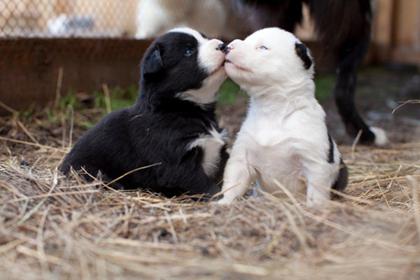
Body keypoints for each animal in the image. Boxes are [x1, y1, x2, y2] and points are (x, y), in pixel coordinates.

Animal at [60, 26, 228, 197]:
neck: (183, 106)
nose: (222, 45)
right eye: (189, 51)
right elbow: (202, 184)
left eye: (205, 38)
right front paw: (220, 196)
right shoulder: (176, 161)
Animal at [217, 27, 348, 208]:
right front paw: (224, 202)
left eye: (263, 47)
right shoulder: (242, 155)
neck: (273, 109)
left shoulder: (314, 162)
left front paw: (314, 208)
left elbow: (316, 191)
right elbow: (233, 182)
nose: (227, 47)